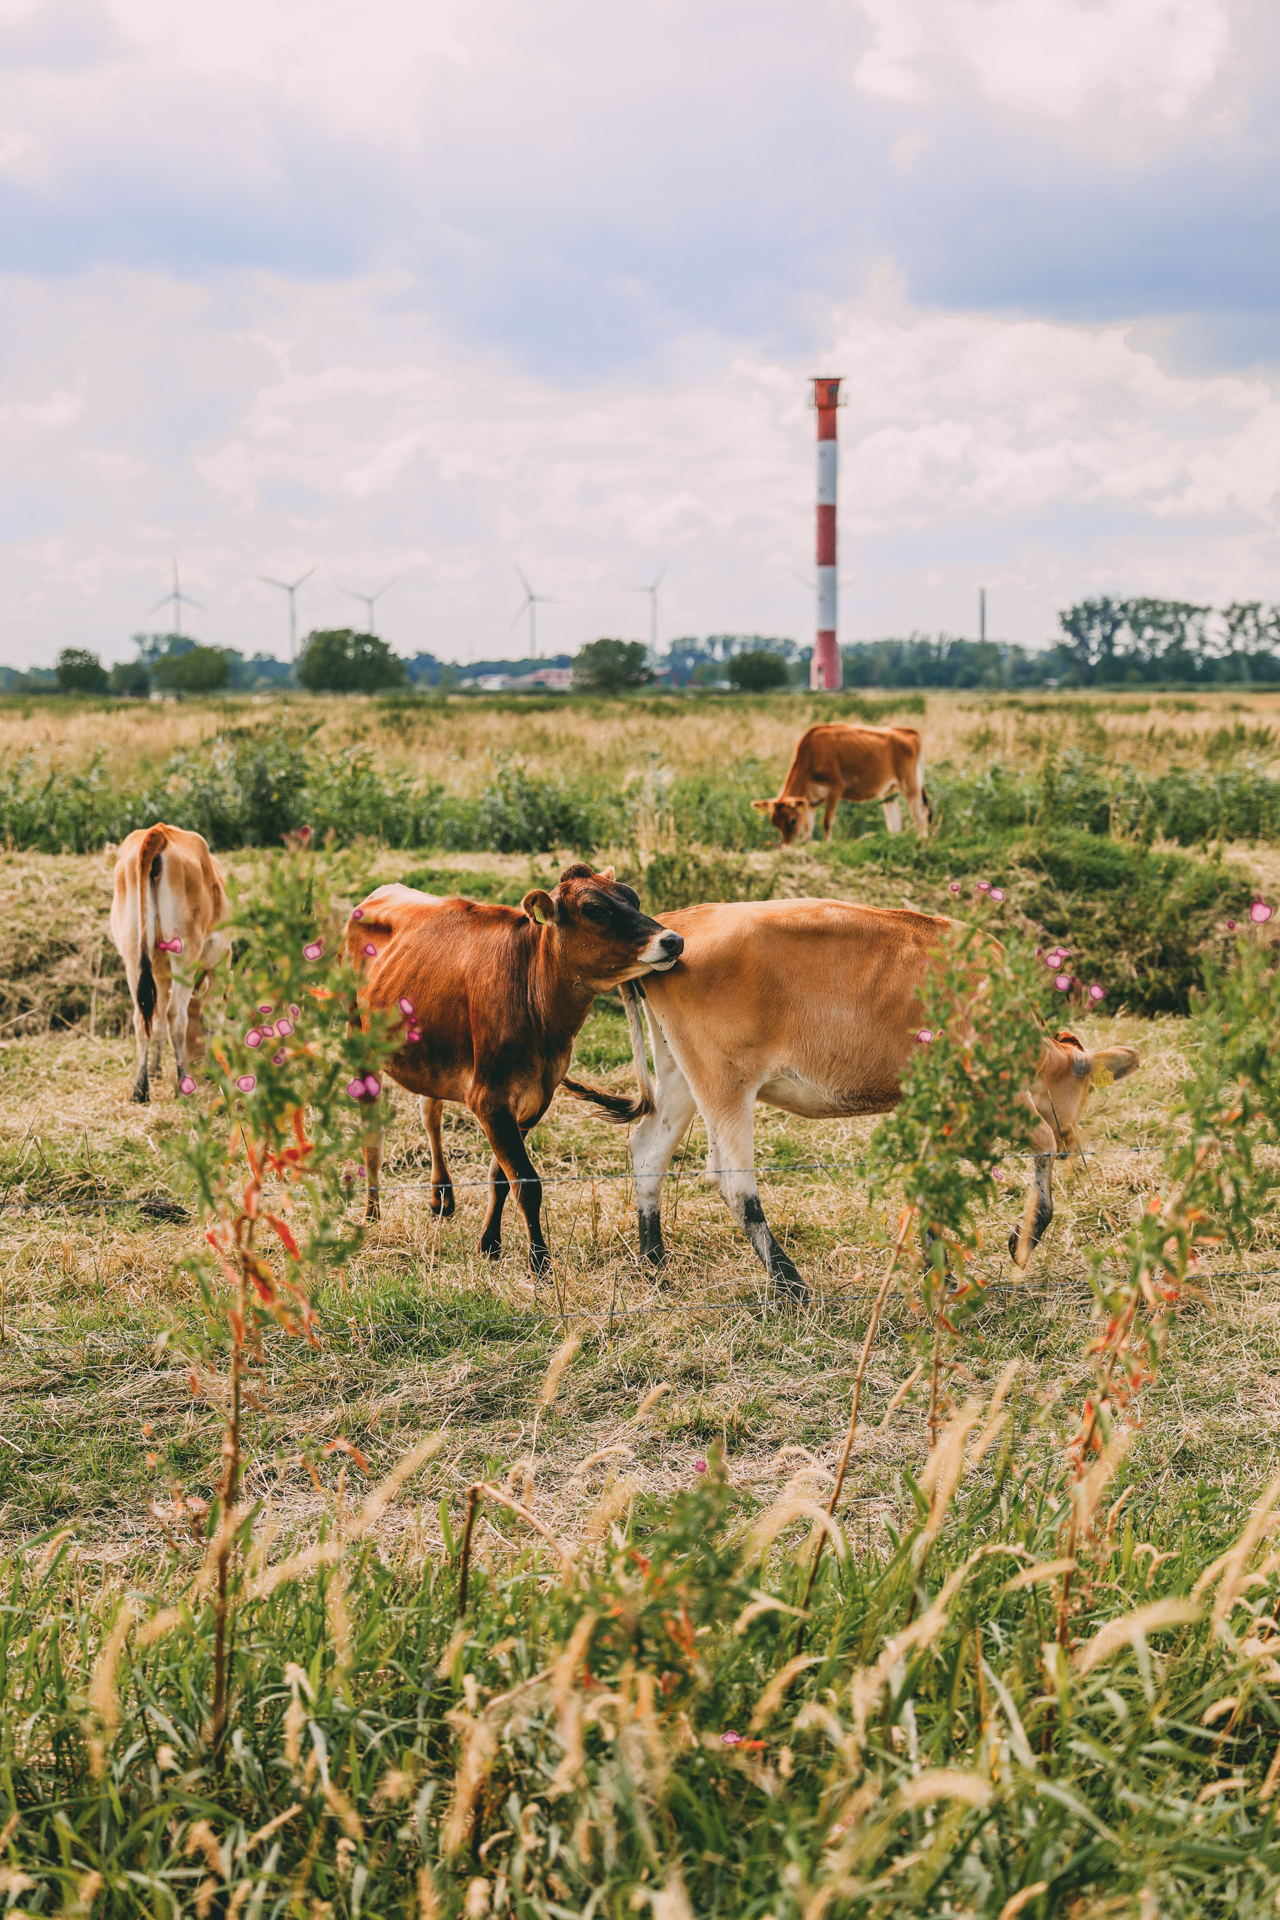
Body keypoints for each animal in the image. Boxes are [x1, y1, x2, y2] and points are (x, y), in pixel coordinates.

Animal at [110, 821, 230, 1105]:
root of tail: (159, 832)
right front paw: (212, 1070)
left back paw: (140, 1088)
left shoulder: (161, 975)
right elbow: (209, 1018)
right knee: (177, 1015)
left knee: (141, 1018)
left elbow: (157, 1020)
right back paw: (183, 1083)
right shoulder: (220, 962)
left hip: (132, 955)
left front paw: (155, 1069)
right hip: (184, 953)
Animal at [339, 864, 679, 1267]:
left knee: (430, 1112)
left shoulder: (538, 1096)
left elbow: (501, 1177)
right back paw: (372, 1214)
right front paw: (540, 1262)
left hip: (429, 1050)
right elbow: (527, 1182)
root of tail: (379, 893)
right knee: (372, 1138)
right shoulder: (490, 1099)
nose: (673, 940)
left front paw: (490, 1244)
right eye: (594, 910)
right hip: (358, 1042)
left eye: (633, 898)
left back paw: (441, 1196)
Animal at [571, 902, 1143, 1297]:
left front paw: (938, 1267)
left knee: (648, 1154)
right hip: (725, 1081)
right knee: (733, 1181)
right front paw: (1023, 1239)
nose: (1074, 1139)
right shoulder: (990, 1092)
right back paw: (790, 1286)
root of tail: (674, 923)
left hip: (680, 1075)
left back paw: (654, 1264)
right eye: (1084, 1087)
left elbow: (930, 1179)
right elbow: (1039, 1141)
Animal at [752, 721, 932, 844]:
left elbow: (826, 822)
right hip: (890, 791)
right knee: (895, 820)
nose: (787, 846)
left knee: (920, 814)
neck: (811, 756)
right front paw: (806, 844)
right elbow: (808, 826)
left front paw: (827, 843)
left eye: (792, 820)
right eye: (775, 823)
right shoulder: (810, 801)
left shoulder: (835, 789)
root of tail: (906, 730)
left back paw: (922, 841)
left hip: (910, 785)